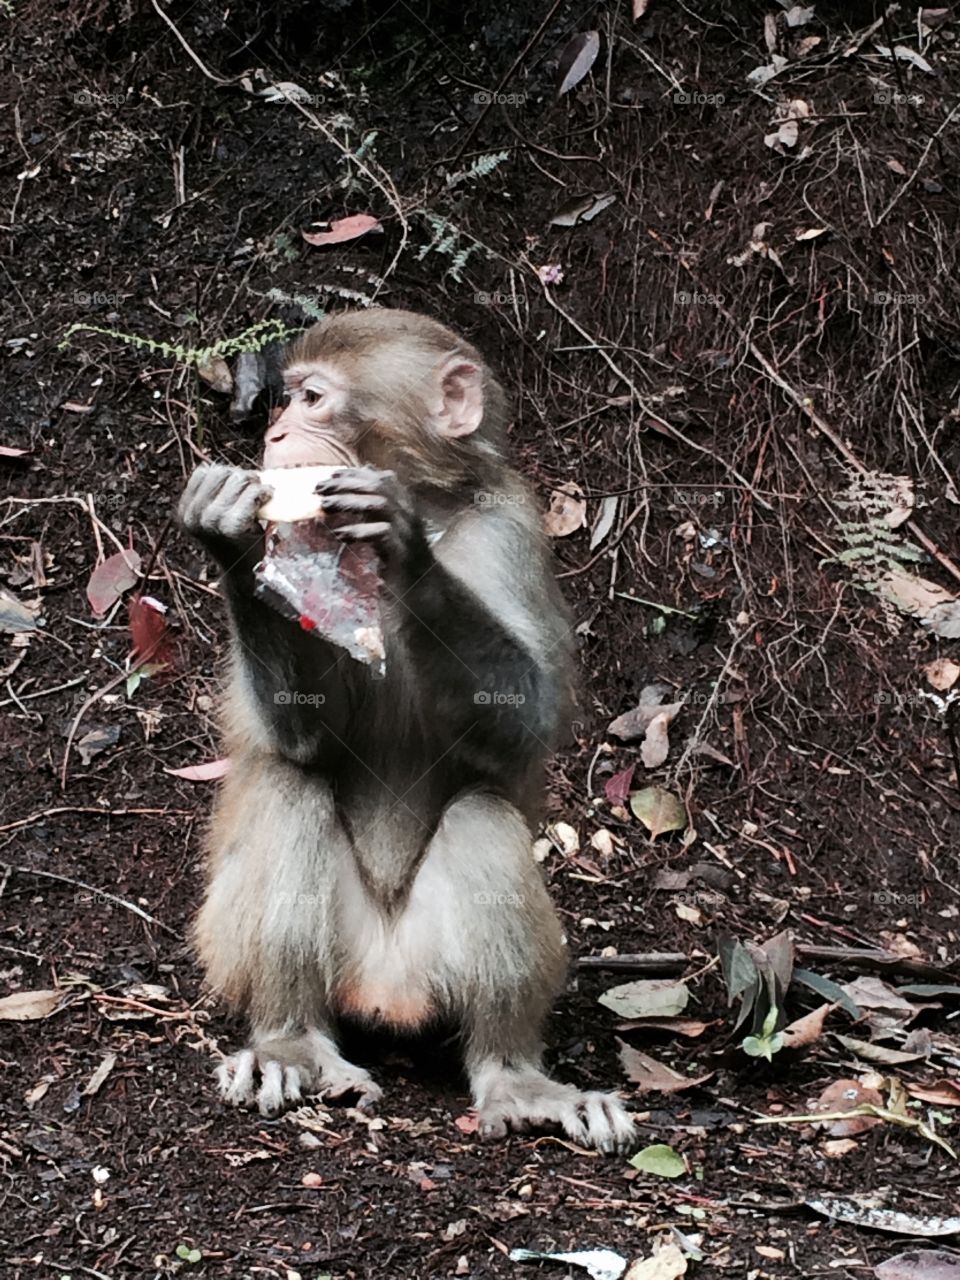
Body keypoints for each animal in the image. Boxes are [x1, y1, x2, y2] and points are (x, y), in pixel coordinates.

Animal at [177, 309, 635, 1152]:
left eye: (313, 399)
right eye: (285, 399)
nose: (276, 434)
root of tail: (385, 987)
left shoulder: (511, 532)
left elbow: (523, 730)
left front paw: (406, 548)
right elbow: (299, 738)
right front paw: (227, 532)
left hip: (429, 964)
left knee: (482, 813)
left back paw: (513, 1076)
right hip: (235, 947)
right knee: (293, 787)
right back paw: (291, 1041)